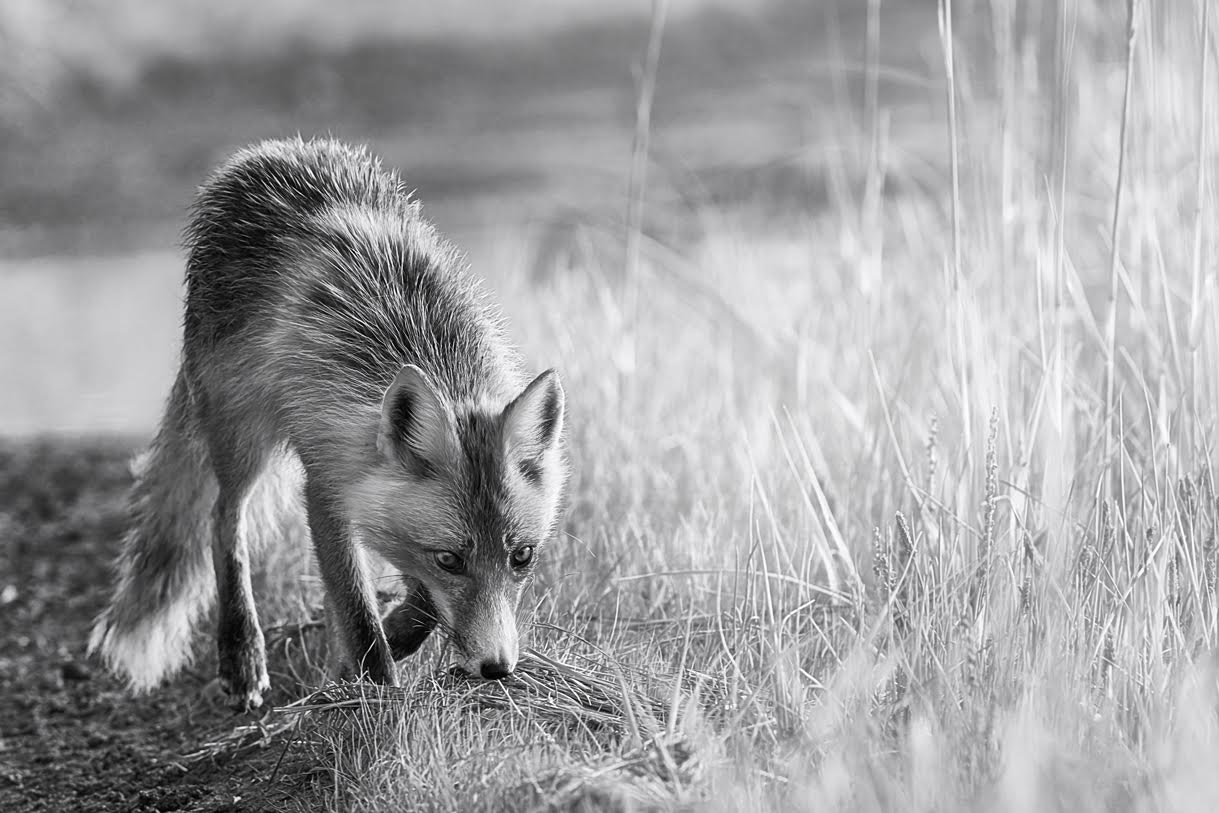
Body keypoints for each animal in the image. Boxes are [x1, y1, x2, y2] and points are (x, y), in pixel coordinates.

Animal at [88, 140, 568, 711]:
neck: (425, 348)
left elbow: (420, 602)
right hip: (241, 427)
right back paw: (241, 652)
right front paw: (372, 692)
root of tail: (268, 151)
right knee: (223, 517)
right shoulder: (326, 488)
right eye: (451, 559)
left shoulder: (380, 502)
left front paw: (389, 641)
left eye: (522, 556)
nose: (497, 669)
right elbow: (357, 612)